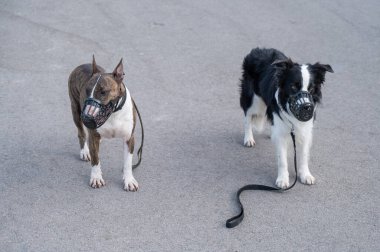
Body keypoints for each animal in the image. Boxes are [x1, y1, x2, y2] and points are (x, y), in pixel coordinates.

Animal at [68, 57, 140, 191]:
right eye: (86, 91)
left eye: (103, 92)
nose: (87, 118)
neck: (113, 113)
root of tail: (83, 65)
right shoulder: (93, 135)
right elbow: (95, 159)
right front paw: (96, 178)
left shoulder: (129, 137)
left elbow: (127, 162)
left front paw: (129, 180)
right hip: (75, 109)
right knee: (81, 133)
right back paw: (84, 152)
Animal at [240, 47, 332, 189]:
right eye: (293, 86)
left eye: (311, 89)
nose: (306, 106)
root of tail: (258, 49)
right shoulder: (282, 135)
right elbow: (282, 159)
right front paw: (283, 180)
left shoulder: (305, 130)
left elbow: (304, 155)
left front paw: (305, 175)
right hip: (252, 100)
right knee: (247, 118)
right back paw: (248, 139)